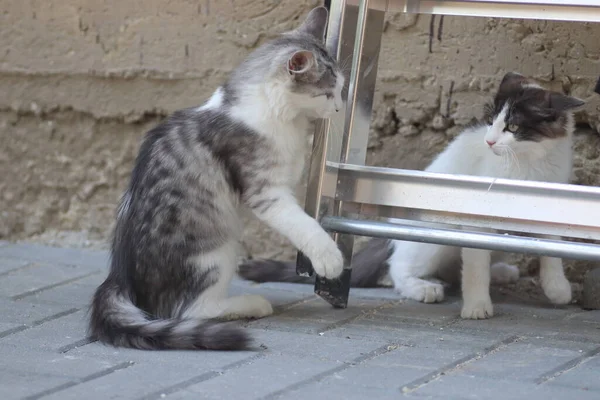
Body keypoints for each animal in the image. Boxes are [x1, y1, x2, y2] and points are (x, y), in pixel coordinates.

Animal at [86, 6, 344, 350]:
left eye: (341, 89)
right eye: (328, 93)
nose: (341, 107)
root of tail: (119, 277)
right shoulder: (267, 192)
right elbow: (304, 225)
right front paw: (329, 257)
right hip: (215, 251)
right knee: (191, 310)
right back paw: (249, 305)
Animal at [240, 72, 584, 320]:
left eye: (511, 126)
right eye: (490, 123)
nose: (489, 141)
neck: (529, 163)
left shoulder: (552, 205)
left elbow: (551, 251)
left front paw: (557, 288)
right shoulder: (474, 213)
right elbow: (474, 266)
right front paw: (476, 307)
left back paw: (500, 272)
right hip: (434, 237)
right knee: (399, 268)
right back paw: (422, 287)